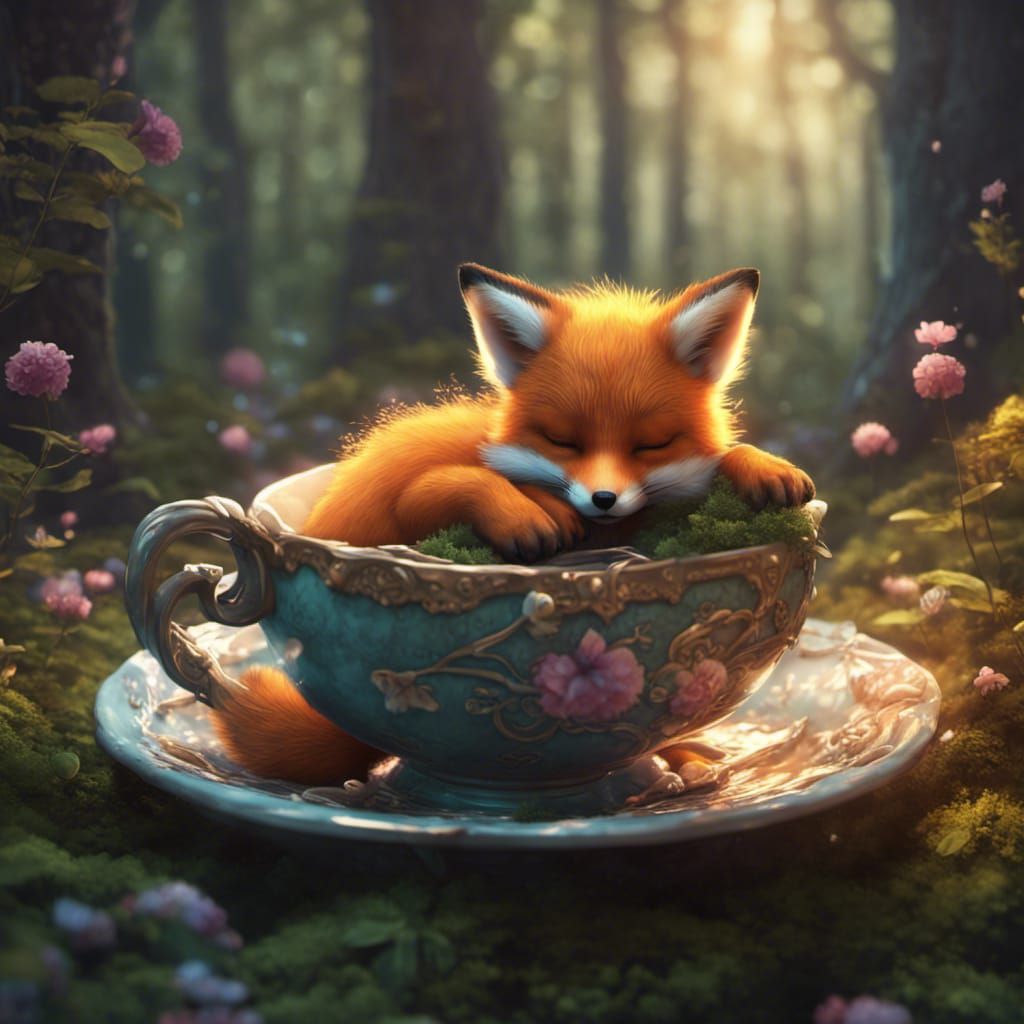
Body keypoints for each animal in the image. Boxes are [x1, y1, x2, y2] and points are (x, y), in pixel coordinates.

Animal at [212, 264, 815, 784]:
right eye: (562, 440)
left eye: (652, 444)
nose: (602, 499)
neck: (608, 534)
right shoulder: (417, 497)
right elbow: (462, 479)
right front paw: (532, 513)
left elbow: (725, 460)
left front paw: (765, 467)